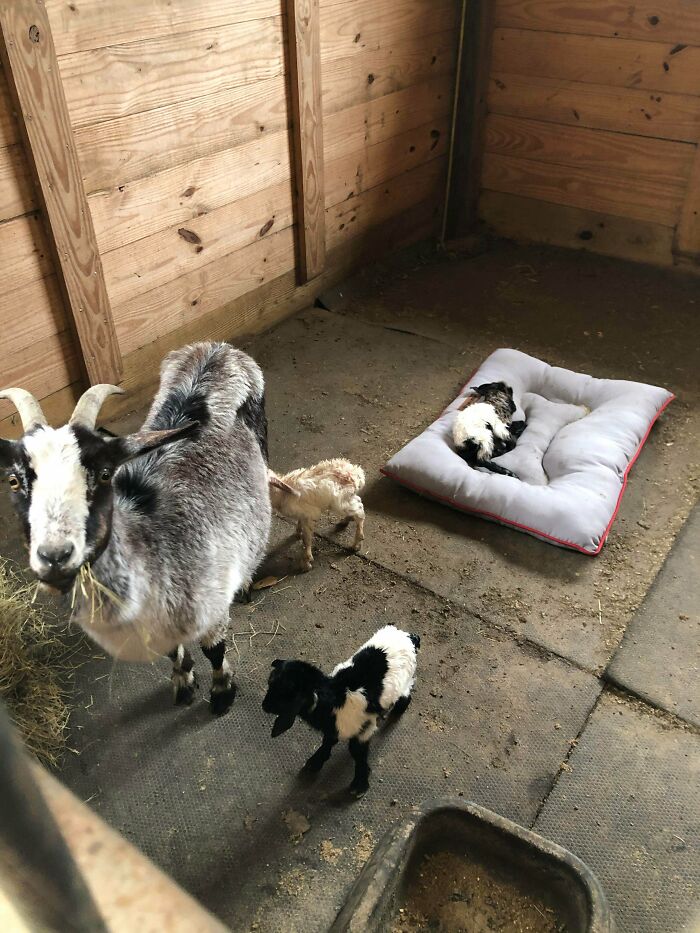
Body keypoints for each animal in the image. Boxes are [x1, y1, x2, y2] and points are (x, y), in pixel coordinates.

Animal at [0, 342, 271, 714]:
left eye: (103, 474)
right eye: (13, 480)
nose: (54, 555)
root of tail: (216, 348)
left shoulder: (210, 604)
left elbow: (213, 649)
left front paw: (221, 692)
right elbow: (171, 651)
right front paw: (183, 681)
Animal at [262, 625, 419, 796]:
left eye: (285, 696)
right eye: (270, 682)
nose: (264, 706)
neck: (337, 698)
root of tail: (409, 636)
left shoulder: (364, 728)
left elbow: (358, 752)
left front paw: (359, 785)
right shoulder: (334, 727)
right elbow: (328, 740)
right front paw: (315, 762)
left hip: (405, 681)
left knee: (406, 693)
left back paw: (398, 709)